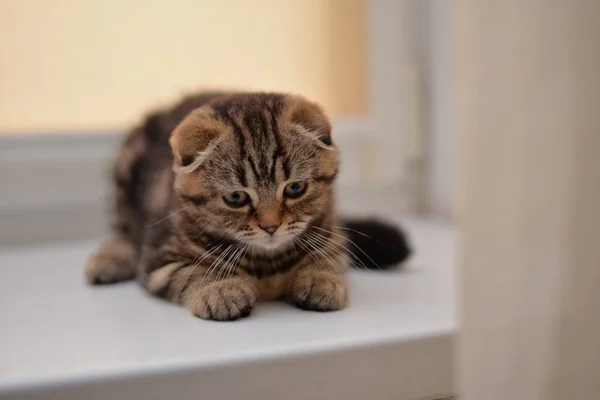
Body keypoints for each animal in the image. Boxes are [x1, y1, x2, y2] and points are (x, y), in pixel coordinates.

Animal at [85, 92, 412, 320]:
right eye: (236, 198)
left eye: (295, 188)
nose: (271, 226)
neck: (267, 263)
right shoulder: (158, 256)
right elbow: (191, 272)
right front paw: (220, 289)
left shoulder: (330, 226)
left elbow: (330, 256)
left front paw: (322, 279)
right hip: (127, 164)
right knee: (124, 229)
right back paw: (110, 259)